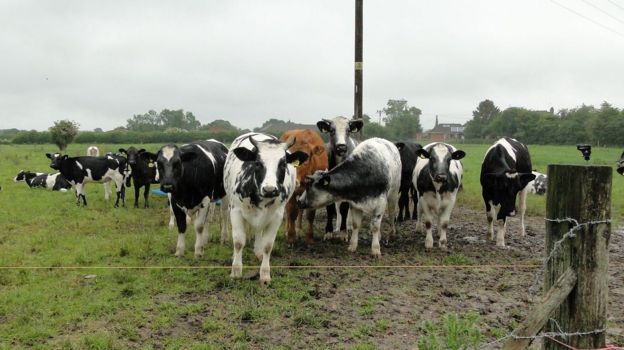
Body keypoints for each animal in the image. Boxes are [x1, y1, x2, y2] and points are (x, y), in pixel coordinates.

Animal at [227, 132, 310, 284]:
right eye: (258, 163)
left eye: (283, 164)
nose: (270, 189)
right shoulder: (235, 210)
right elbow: (238, 242)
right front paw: (235, 271)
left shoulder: (277, 216)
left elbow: (268, 245)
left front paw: (265, 275)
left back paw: (258, 252)